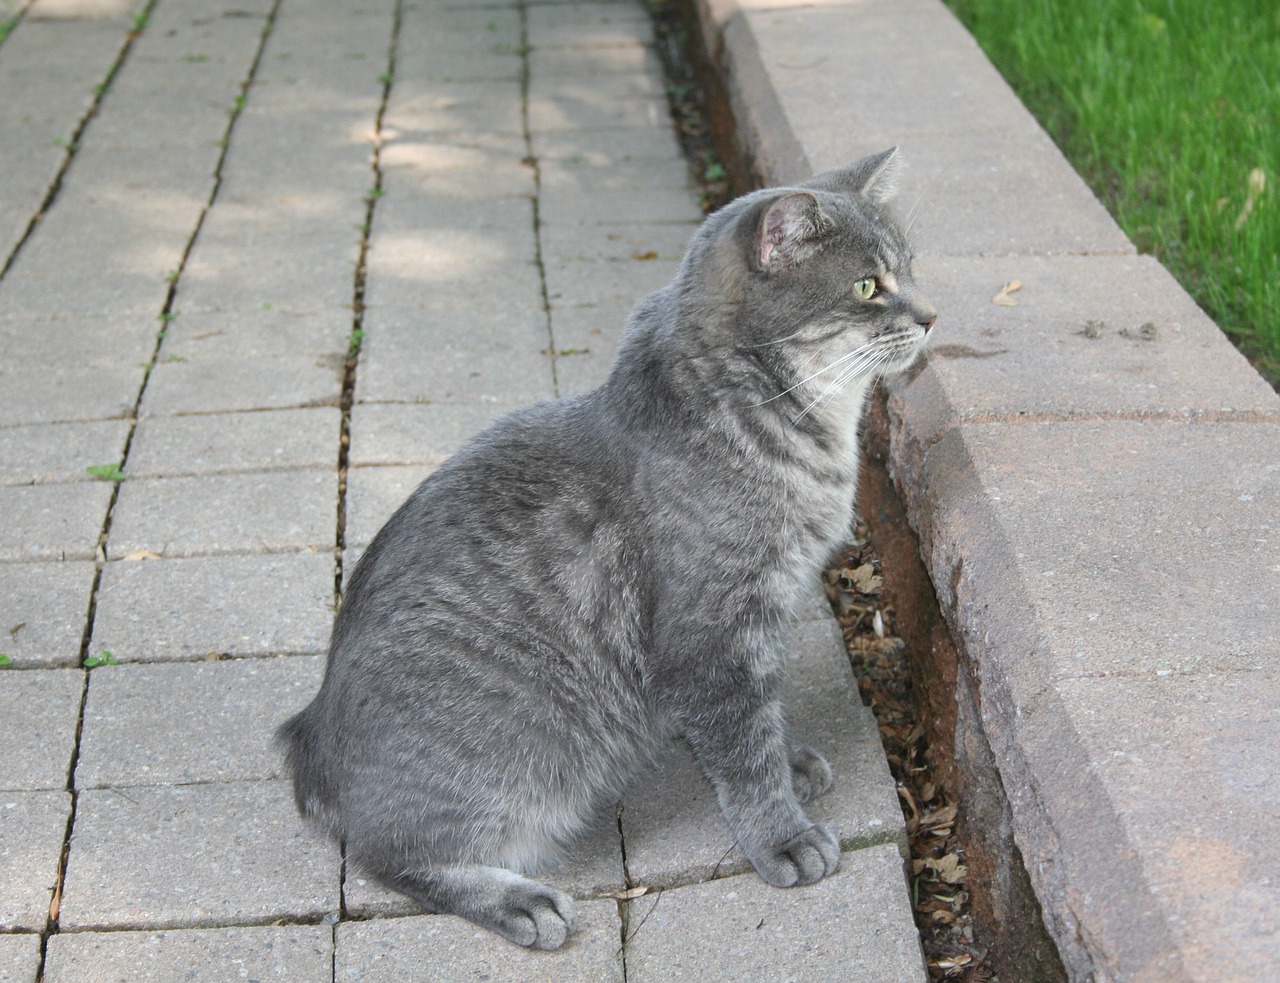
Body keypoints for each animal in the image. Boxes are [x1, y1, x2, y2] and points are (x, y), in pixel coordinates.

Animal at [280, 147, 936, 952]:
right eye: (869, 286)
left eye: (909, 268)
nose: (931, 316)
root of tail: (311, 743)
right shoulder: (710, 640)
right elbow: (742, 750)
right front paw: (782, 834)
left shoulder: (757, 625)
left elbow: (764, 718)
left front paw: (789, 760)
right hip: (512, 770)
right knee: (394, 855)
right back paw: (521, 901)